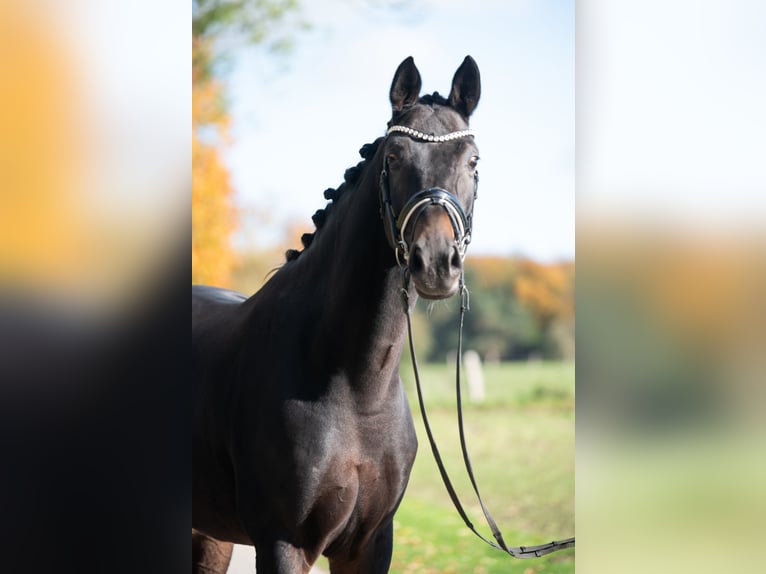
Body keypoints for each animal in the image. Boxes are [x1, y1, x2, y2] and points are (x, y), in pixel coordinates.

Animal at [192, 55, 480, 574]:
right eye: (393, 157)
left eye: (472, 160)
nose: (434, 262)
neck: (353, 388)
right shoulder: (283, 544)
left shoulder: (369, 545)